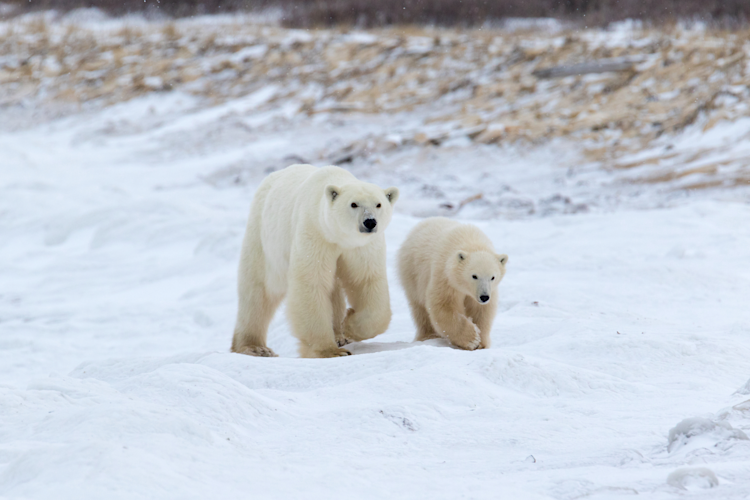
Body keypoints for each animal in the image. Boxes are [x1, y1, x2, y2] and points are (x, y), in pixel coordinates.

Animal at [231, 164, 399, 358]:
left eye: (379, 204)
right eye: (353, 204)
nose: (370, 222)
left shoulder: (361, 248)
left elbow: (366, 281)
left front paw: (349, 325)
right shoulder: (315, 234)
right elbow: (312, 283)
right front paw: (330, 351)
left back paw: (340, 336)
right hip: (264, 238)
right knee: (258, 290)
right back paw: (255, 348)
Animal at [397, 217, 508, 350]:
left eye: (492, 277)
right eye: (474, 276)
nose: (484, 297)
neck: (472, 243)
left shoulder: (489, 290)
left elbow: (481, 310)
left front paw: (481, 343)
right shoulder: (445, 277)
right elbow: (443, 306)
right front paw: (472, 339)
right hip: (412, 273)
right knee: (420, 308)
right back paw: (428, 336)